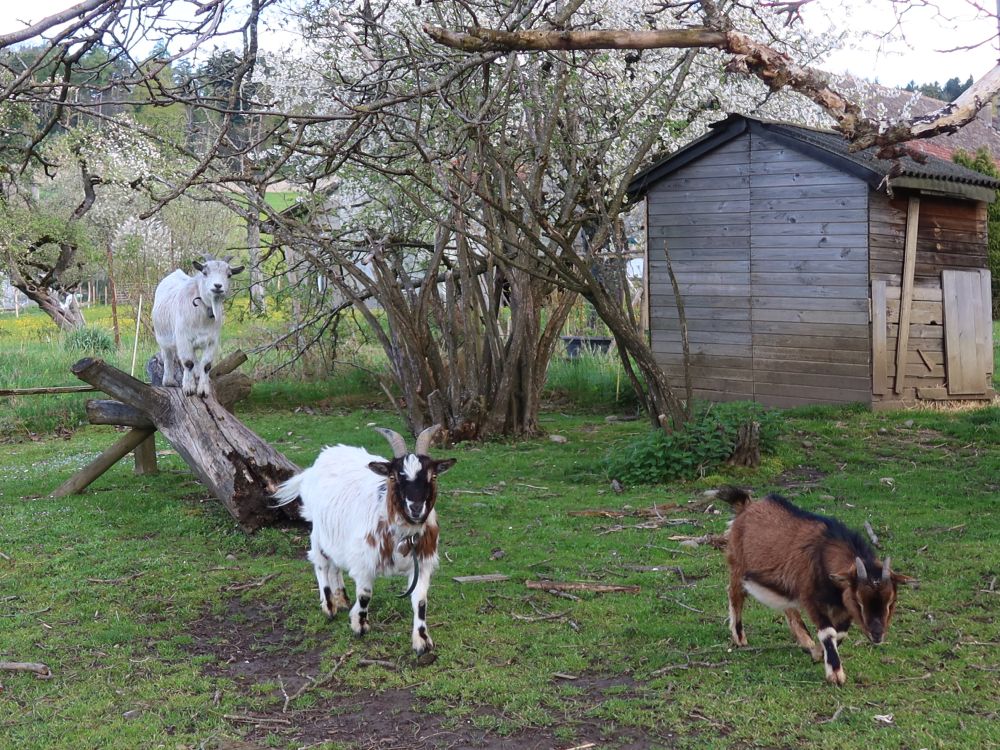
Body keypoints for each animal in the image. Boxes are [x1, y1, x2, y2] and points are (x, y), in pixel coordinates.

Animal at [152, 256, 243, 397]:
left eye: (229, 275)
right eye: (205, 273)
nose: (217, 286)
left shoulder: (212, 341)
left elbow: (206, 365)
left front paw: (203, 390)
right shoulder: (183, 338)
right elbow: (188, 362)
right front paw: (189, 388)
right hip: (162, 337)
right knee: (168, 356)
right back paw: (169, 381)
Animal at [271, 425, 456, 655]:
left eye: (433, 476)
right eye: (393, 476)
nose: (415, 508)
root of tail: (322, 457)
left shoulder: (422, 563)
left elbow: (420, 601)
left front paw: (422, 641)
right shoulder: (364, 559)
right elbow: (365, 594)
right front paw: (359, 624)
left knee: (335, 565)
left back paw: (341, 597)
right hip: (318, 530)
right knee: (321, 563)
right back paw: (329, 605)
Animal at [718, 486, 913, 685]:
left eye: (891, 602)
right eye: (859, 601)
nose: (877, 634)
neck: (824, 551)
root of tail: (745, 506)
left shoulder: (843, 607)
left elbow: (840, 633)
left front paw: (818, 654)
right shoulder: (812, 599)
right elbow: (828, 632)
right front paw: (835, 674)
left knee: (788, 606)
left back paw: (805, 640)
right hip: (738, 564)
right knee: (735, 594)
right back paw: (739, 637)